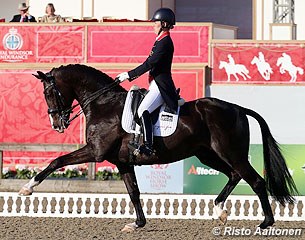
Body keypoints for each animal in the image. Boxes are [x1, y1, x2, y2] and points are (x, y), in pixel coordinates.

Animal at [18, 63, 294, 231]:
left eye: (49, 93)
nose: (57, 124)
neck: (103, 104)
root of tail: (237, 108)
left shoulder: (95, 153)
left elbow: (56, 161)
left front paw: (27, 188)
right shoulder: (123, 162)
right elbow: (134, 192)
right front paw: (137, 224)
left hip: (231, 153)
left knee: (255, 180)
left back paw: (264, 223)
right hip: (207, 154)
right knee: (234, 175)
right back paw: (220, 210)